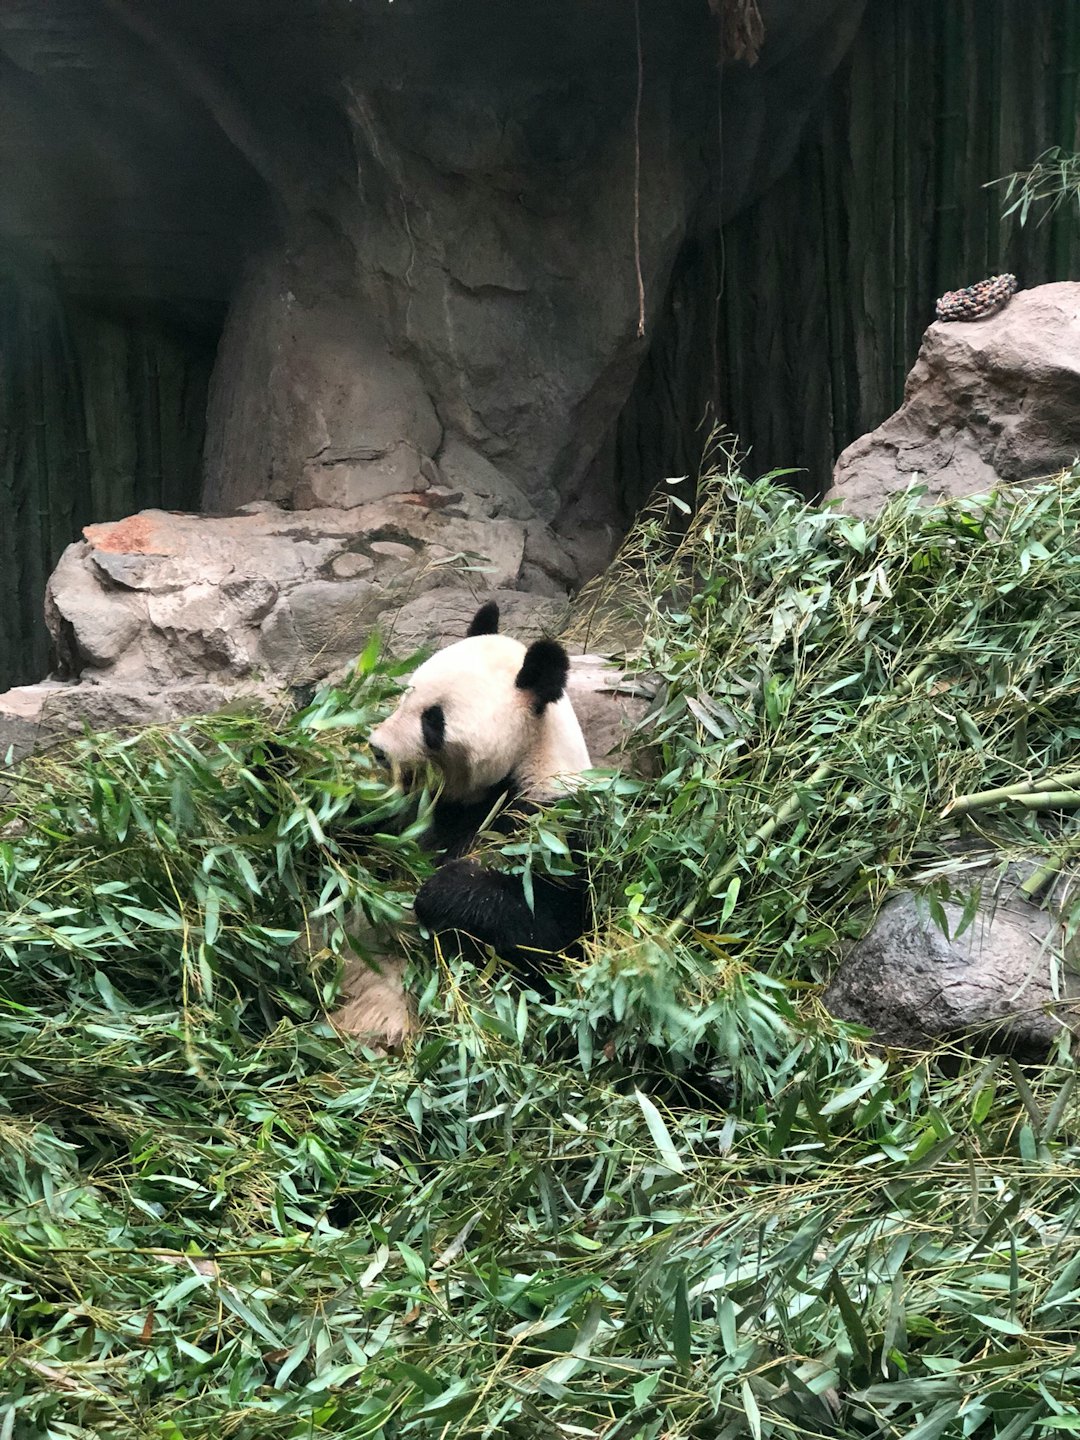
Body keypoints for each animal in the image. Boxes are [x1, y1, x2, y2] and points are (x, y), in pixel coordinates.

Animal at [368, 600, 592, 971]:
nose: (378, 749)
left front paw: (439, 889)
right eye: (405, 697)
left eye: (433, 720)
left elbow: (554, 933)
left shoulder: (556, 827)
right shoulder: (432, 804)